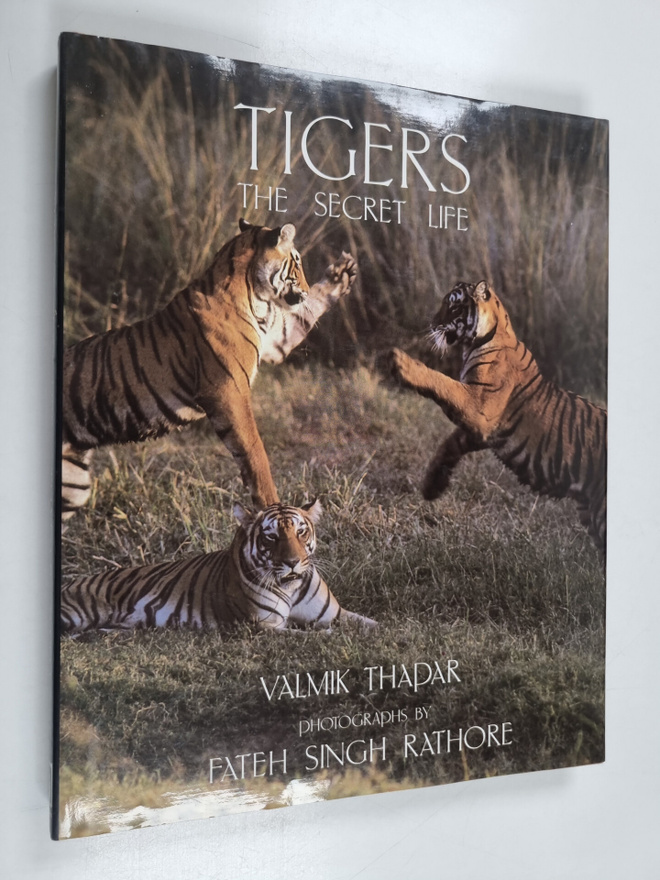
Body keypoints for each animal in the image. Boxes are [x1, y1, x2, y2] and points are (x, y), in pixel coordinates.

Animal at [60, 501, 377, 634]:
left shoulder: (336, 614)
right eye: (271, 537)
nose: (292, 562)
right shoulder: (264, 627)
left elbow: (372, 624)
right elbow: (307, 637)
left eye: (300, 532)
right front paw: (329, 636)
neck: (291, 587)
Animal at [61, 219, 357, 520]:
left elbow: (306, 312)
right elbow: (255, 452)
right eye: (296, 262)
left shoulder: (276, 338)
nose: (305, 289)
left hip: (73, 486)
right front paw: (271, 508)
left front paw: (341, 273)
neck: (255, 297)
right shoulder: (229, 392)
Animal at [392, 281, 607, 552]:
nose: (432, 323)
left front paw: (404, 364)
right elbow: (448, 445)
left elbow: (443, 382)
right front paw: (432, 486)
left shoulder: (478, 406)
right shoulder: (479, 429)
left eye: (453, 307)